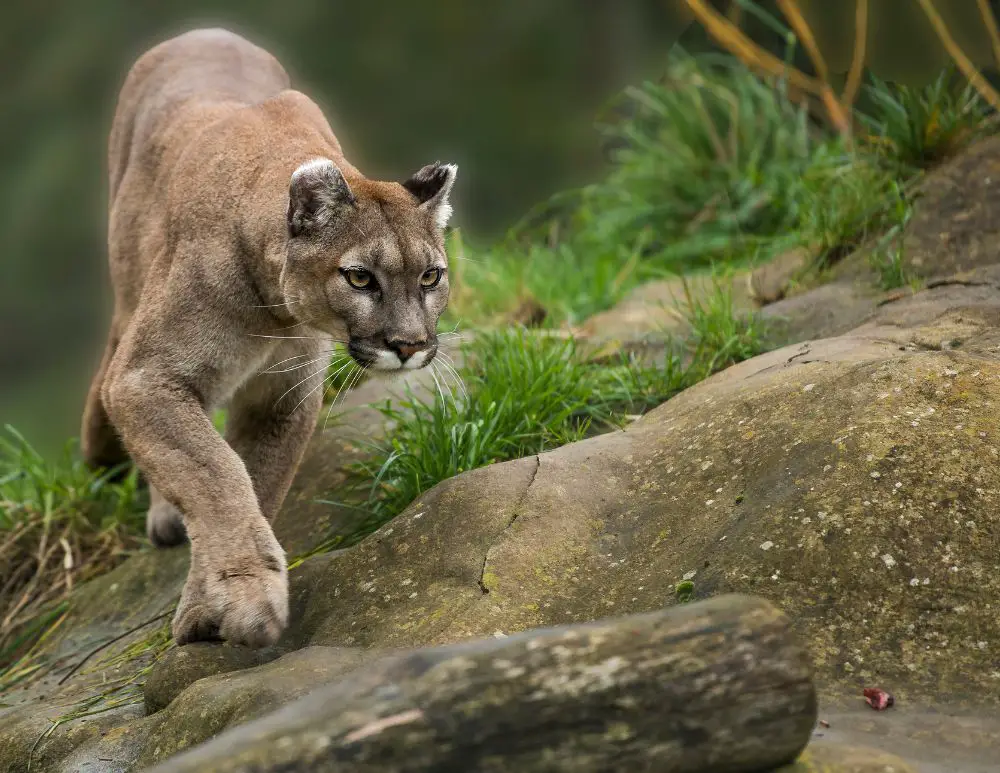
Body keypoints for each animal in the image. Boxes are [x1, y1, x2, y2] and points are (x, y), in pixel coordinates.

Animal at [82, 28, 458, 644]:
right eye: (359, 277)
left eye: (430, 276)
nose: (408, 346)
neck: (275, 314)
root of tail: (203, 29)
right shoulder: (144, 376)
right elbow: (215, 473)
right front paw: (246, 595)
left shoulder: (282, 394)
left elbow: (257, 480)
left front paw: (206, 604)